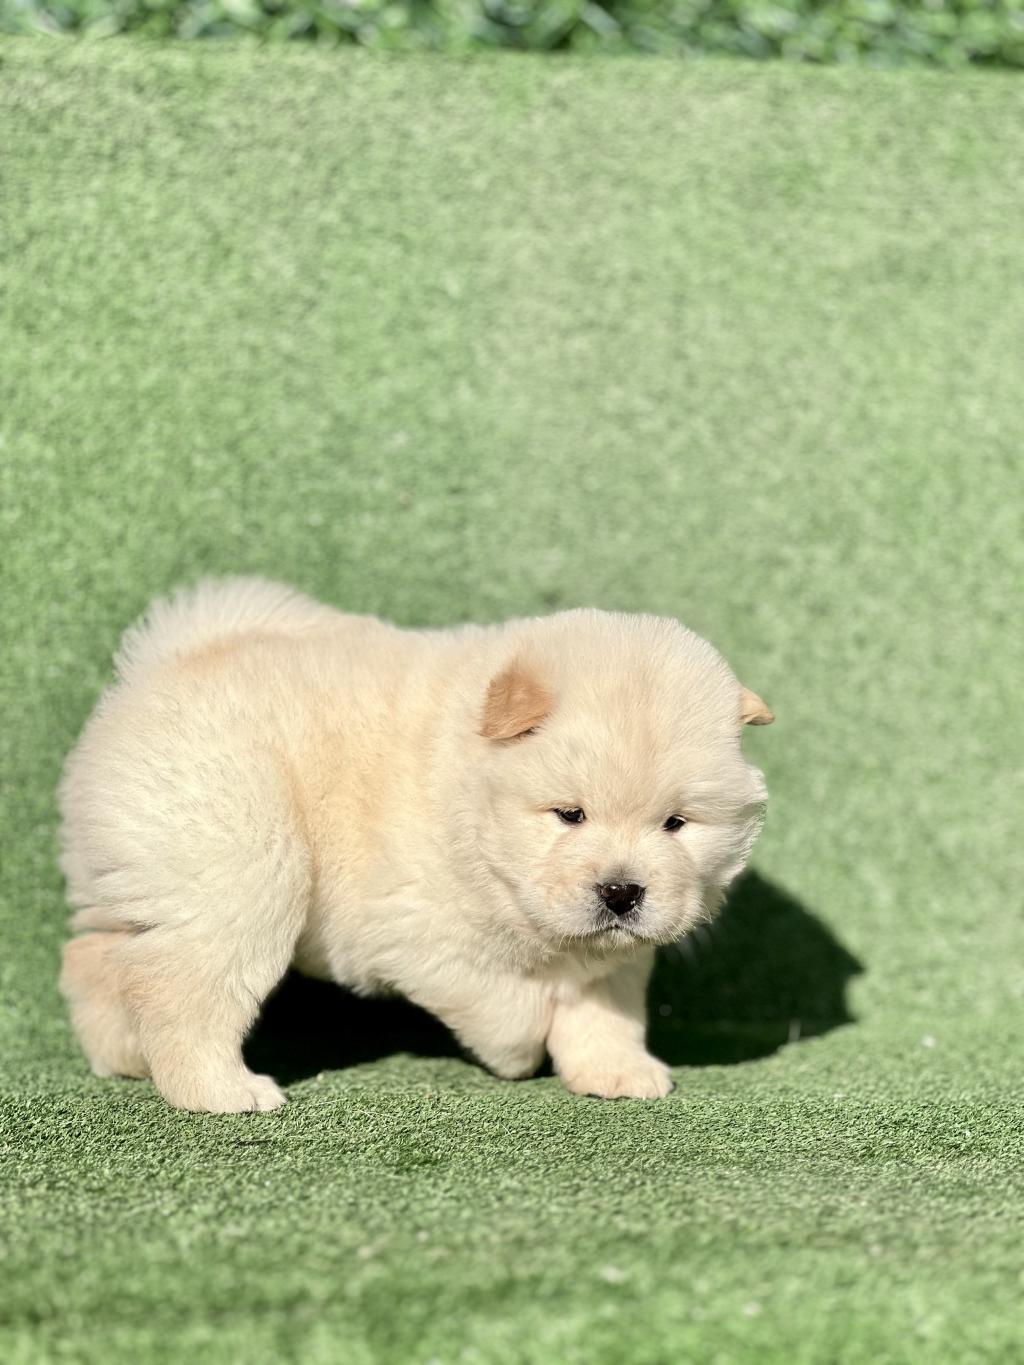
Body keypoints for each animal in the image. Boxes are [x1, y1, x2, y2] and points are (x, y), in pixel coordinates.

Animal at [58, 578, 773, 1112]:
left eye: (675, 824)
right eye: (570, 815)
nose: (622, 891)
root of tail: (162, 667)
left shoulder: (614, 958)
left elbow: (604, 1009)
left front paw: (619, 1073)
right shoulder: (423, 935)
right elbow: (507, 1005)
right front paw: (521, 1055)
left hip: (147, 873)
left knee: (100, 957)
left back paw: (122, 1058)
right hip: (246, 868)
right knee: (182, 989)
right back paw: (223, 1092)